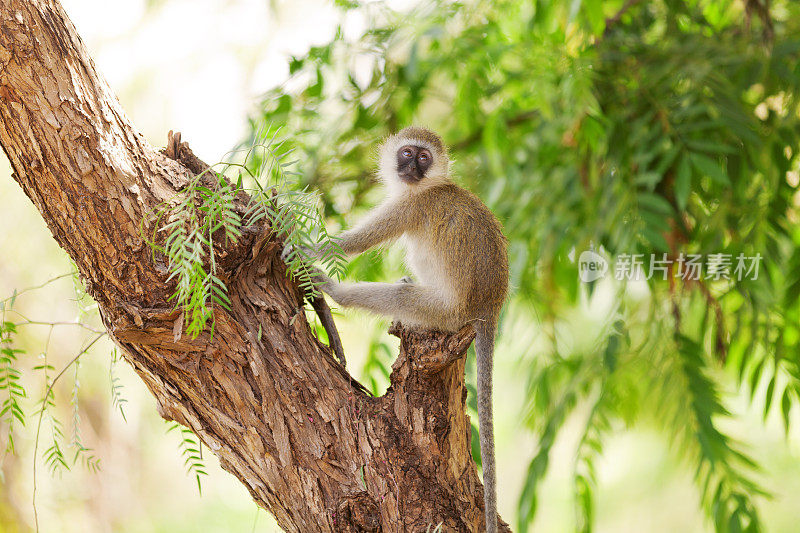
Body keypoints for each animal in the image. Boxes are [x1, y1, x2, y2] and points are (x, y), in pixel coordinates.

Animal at [290, 127, 510, 528]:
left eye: (423, 158)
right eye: (407, 153)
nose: (411, 167)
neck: (425, 187)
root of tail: (490, 306)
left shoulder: (409, 208)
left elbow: (349, 244)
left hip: (445, 313)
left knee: (401, 296)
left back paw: (335, 291)